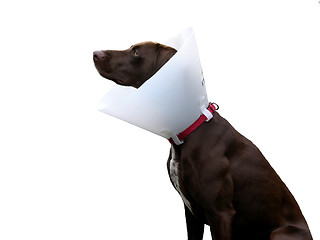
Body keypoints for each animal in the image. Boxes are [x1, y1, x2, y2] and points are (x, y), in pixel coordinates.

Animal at [92, 42, 312, 239]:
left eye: (136, 52)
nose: (95, 53)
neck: (188, 131)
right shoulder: (191, 213)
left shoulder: (220, 214)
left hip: (279, 233)